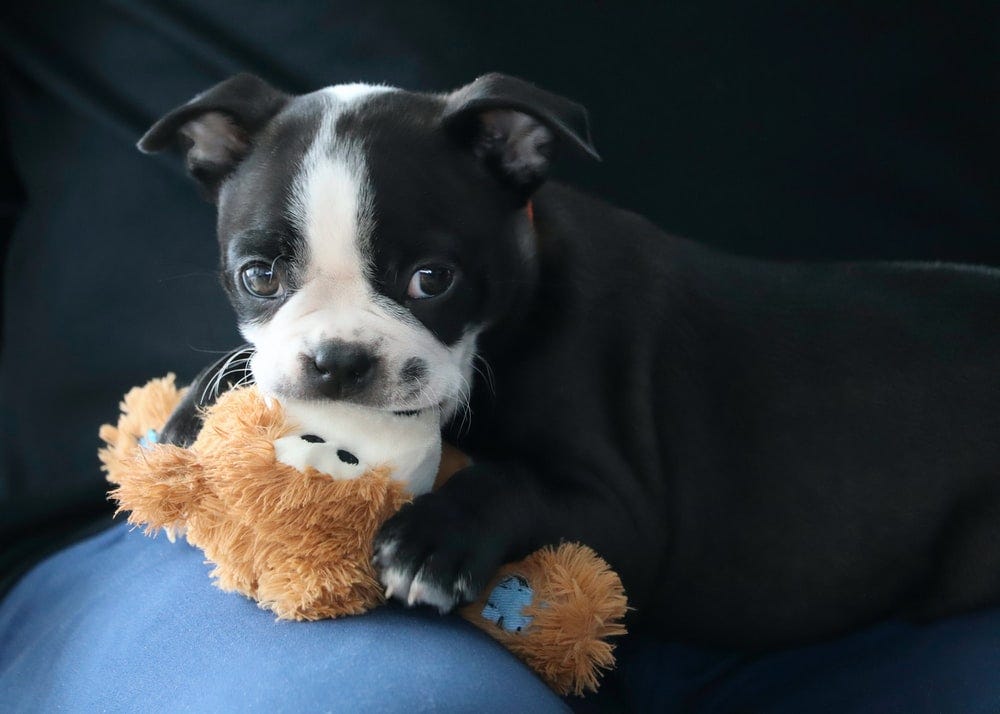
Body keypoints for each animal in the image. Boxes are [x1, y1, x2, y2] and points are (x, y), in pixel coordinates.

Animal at [139, 72, 1000, 644]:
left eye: (432, 280)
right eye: (260, 277)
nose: (338, 361)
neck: (507, 323)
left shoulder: (630, 519)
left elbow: (512, 479)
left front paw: (431, 541)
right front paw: (191, 414)